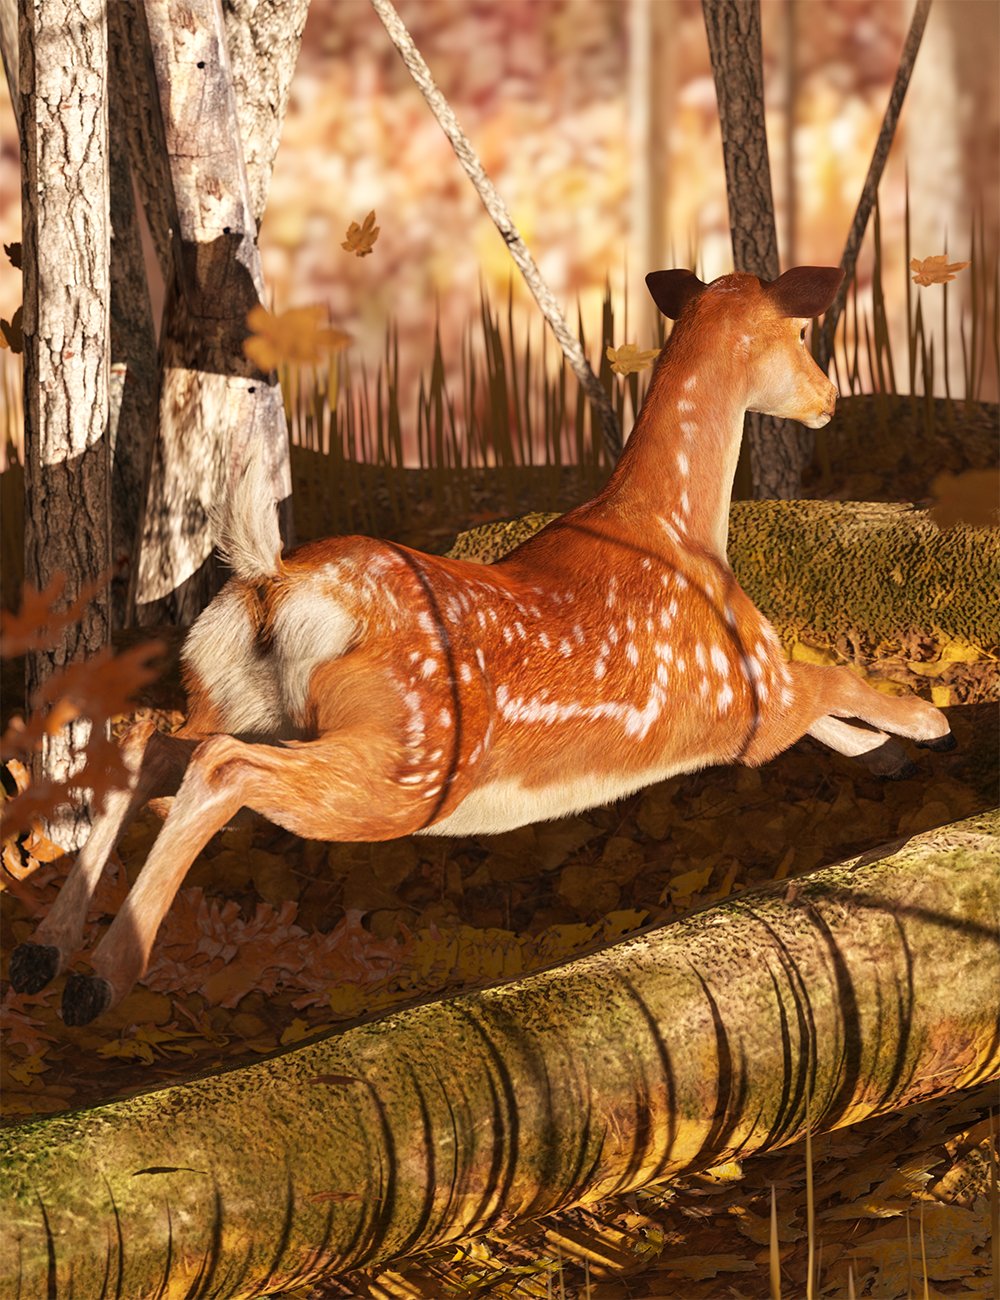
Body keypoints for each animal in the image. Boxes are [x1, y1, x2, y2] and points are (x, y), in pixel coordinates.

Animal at [8, 265, 954, 1026]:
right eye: (799, 331)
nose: (829, 397)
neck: (677, 531)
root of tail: (276, 583)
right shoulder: (743, 690)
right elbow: (835, 682)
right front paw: (928, 724)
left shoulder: (751, 693)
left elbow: (825, 709)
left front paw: (889, 755)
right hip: (407, 767)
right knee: (219, 769)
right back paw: (101, 978)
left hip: (239, 698)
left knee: (152, 745)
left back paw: (43, 954)